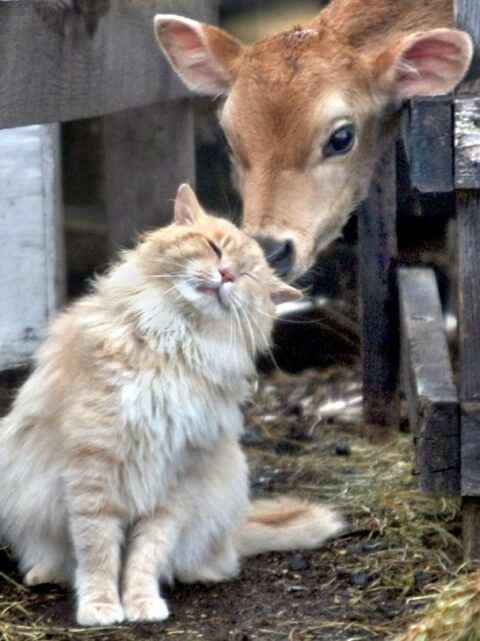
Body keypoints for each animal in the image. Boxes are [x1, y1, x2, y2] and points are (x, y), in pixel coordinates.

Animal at [0, 184, 344, 624]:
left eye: (247, 276)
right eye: (214, 248)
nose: (227, 275)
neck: (176, 346)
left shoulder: (175, 483)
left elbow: (145, 557)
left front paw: (142, 604)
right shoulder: (93, 473)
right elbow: (97, 553)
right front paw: (101, 607)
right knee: (58, 558)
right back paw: (45, 573)